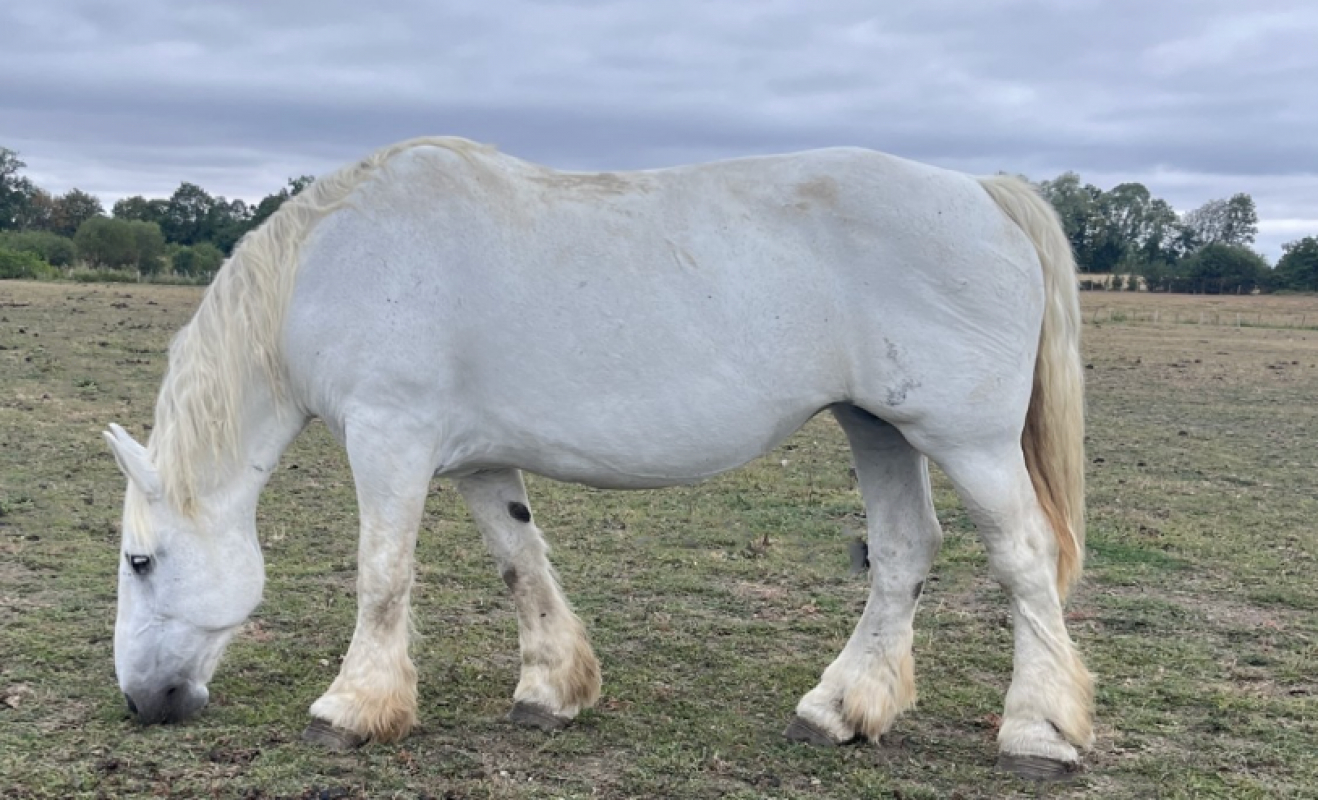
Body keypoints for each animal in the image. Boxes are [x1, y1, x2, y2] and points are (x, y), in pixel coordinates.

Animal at [103, 137, 1091, 779]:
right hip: (877, 427)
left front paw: (352, 708)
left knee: (1024, 559)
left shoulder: (390, 440)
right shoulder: (475, 461)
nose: (142, 703)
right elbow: (518, 560)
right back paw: (841, 709)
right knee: (903, 553)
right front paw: (553, 688)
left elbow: (382, 574)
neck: (333, 264)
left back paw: (1038, 731)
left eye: (140, 560)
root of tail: (985, 192)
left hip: (967, 442)